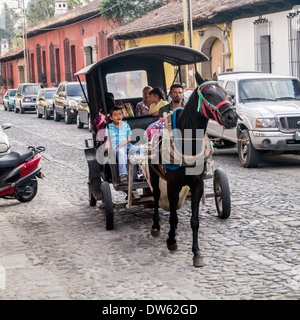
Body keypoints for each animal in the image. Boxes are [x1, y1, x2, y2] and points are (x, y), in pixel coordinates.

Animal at [149, 74, 238, 266]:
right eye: (209, 94)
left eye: (226, 94)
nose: (232, 117)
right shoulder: (172, 185)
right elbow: (173, 215)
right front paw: (171, 241)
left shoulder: (197, 185)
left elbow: (194, 221)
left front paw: (196, 253)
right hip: (154, 175)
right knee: (156, 196)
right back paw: (156, 226)